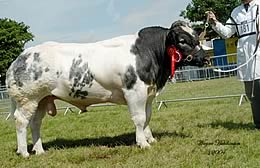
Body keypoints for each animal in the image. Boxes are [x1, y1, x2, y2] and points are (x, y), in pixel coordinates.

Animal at [6, 21, 209, 158]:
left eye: (195, 36)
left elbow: (147, 117)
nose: (205, 58)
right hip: (28, 98)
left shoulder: (148, 94)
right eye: (182, 40)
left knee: (35, 123)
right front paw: (143, 143)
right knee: (21, 121)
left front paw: (150, 139)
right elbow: (139, 118)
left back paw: (40, 150)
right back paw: (24, 152)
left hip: (42, 99)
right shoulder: (134, 92)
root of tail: (21, 57)